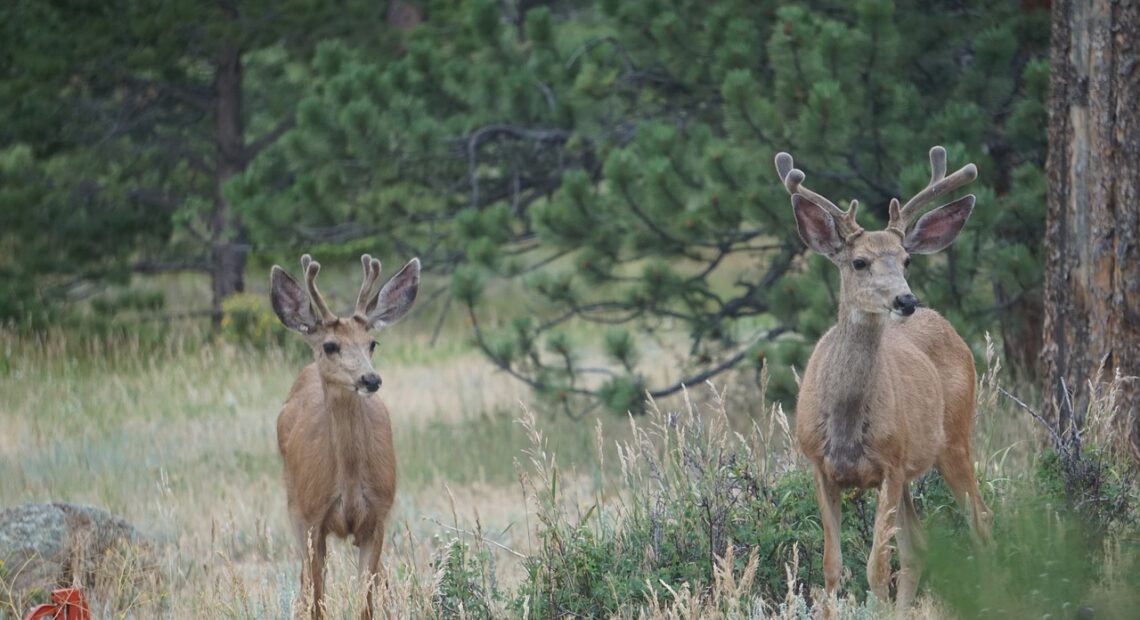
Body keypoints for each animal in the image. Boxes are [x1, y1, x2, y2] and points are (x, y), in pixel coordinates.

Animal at [269, 253, 421, 620]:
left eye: (372, 343)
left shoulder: (377, 517)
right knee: (304, 583)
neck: (349, 486)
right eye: (330, 345)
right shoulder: (312, 518)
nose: (370, 379)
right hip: (293, 504)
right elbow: (316, 601)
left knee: (381, 578)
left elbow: (365, 603)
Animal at [779, 148, 994, 610]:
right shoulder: (819, 465)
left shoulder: (890, 466)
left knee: (979, 520)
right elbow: (832, 566)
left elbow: (876, 568)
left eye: (907, 259)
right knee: (919, 545)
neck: (845, 422)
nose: (906, 300)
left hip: (955, 438)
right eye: (859, 262)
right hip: (915, 467)